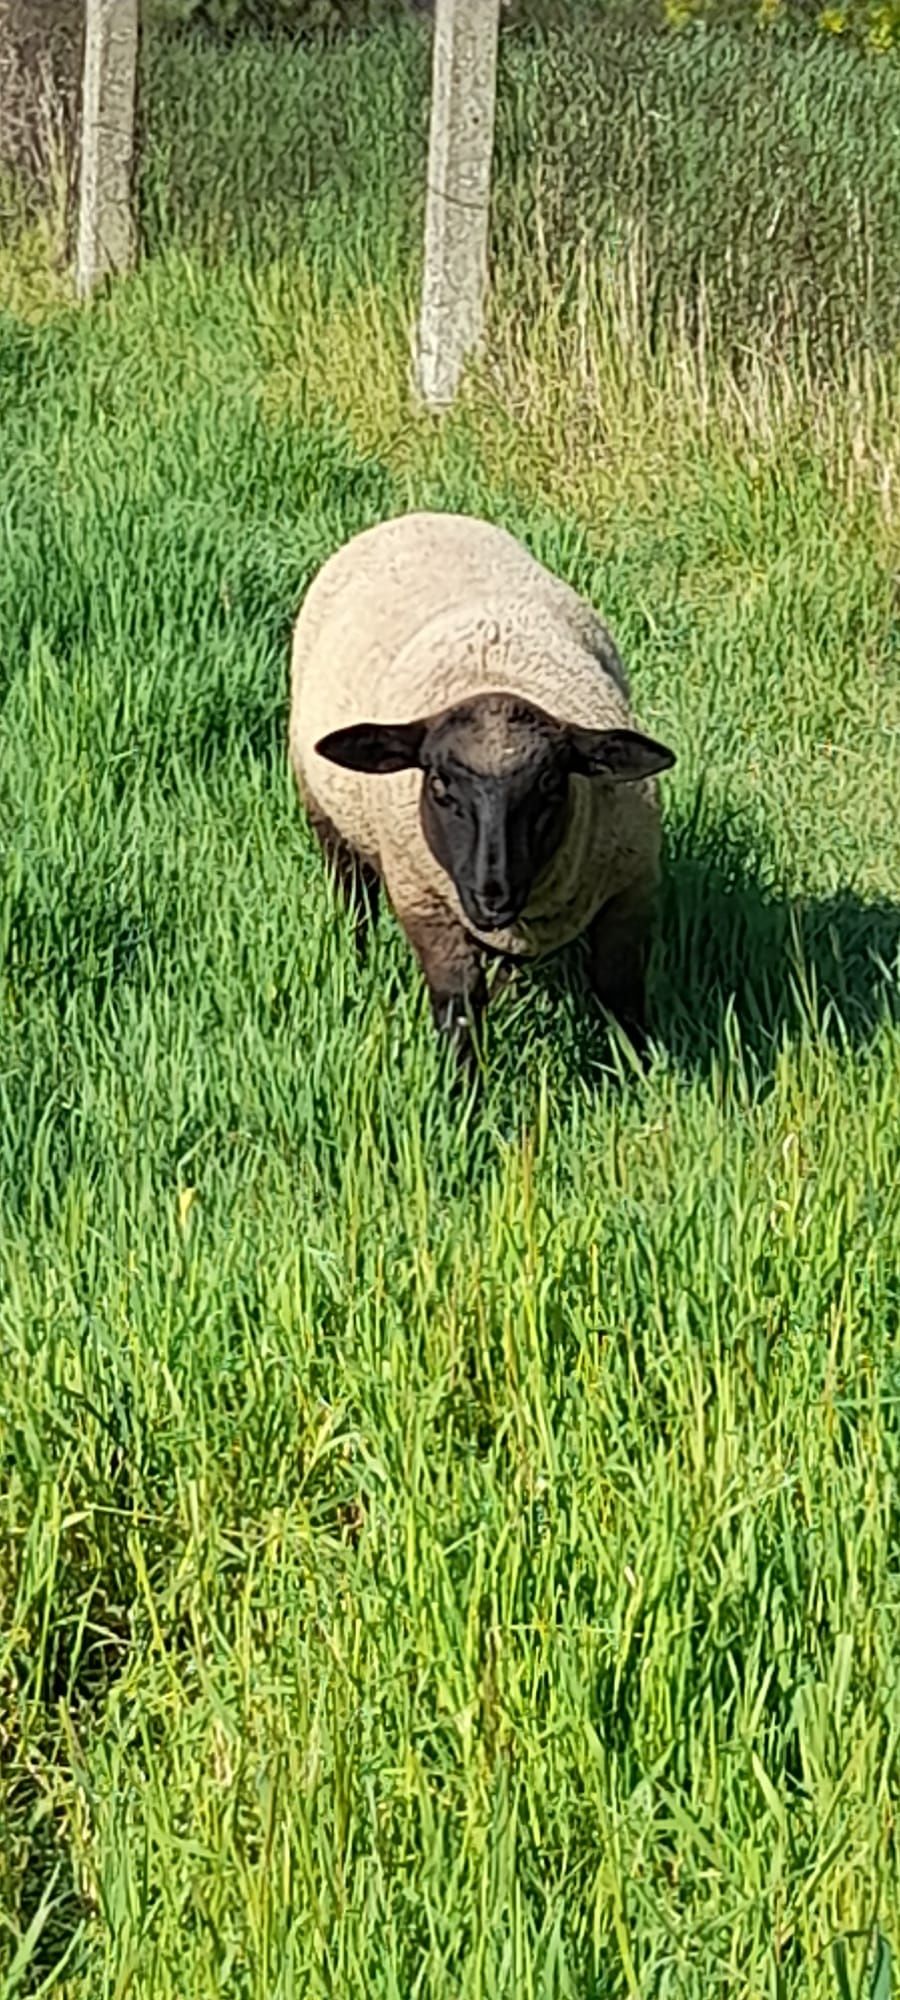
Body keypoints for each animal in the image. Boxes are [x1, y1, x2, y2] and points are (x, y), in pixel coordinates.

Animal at [288, 516, 676, 1072]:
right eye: (439, 785)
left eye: (550, 784)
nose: (492, 891)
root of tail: (418, 515)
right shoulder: (427, 904)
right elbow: (459, 1008)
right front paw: (461, 1091)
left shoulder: (630, 888)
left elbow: (619, 992)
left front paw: (638, 1073)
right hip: (327, 816)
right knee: (353, 898)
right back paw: (355, 960)